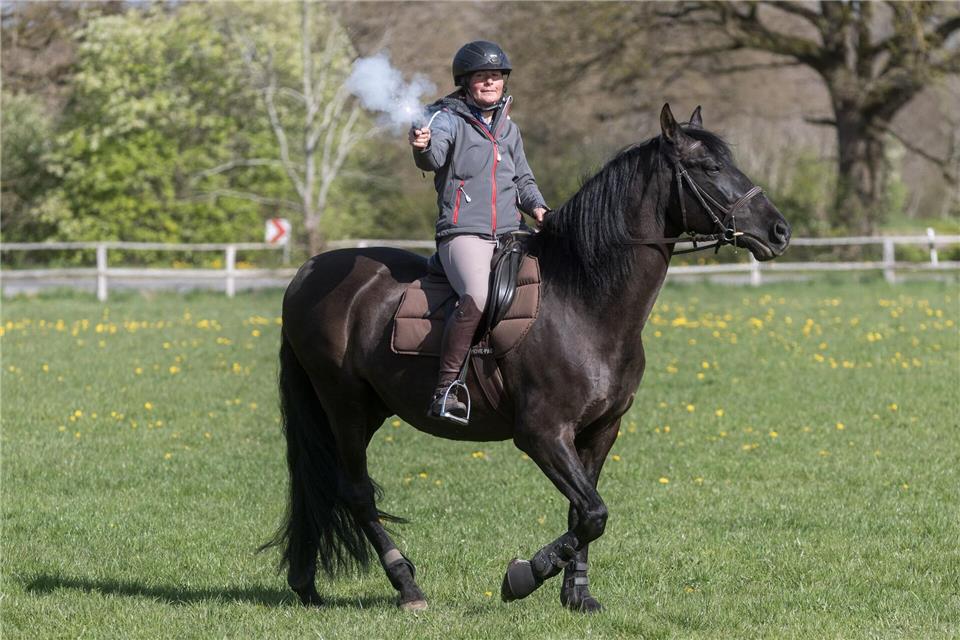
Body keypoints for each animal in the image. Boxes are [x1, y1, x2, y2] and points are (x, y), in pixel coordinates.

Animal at [262, 104, 791, 613]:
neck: (581, 299)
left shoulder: (600, 431)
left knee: (324, 483)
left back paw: (306, 583)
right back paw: (406, 586)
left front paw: (577, 594)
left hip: (368, 409)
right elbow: (594, 513)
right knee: (355, 491)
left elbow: (584, 512)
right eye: (709, 167)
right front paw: (524, 576)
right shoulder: (541, 434)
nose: (780, 231)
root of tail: (307, 272)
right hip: (345, 405)